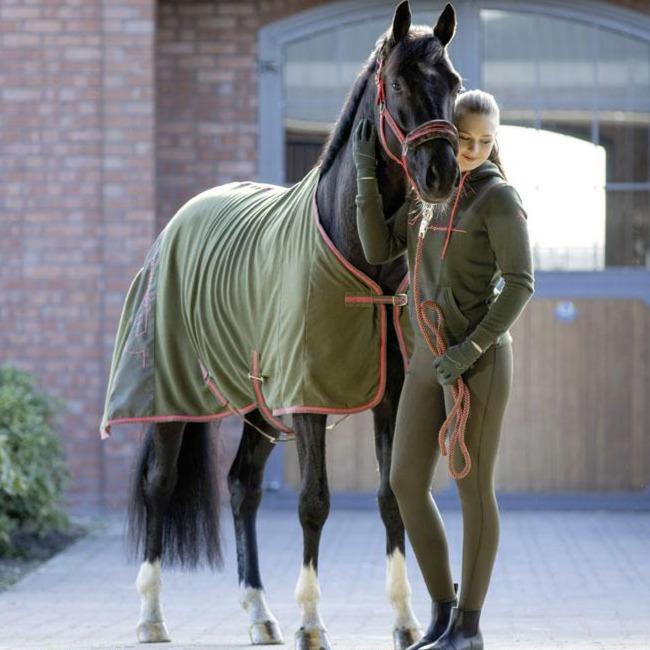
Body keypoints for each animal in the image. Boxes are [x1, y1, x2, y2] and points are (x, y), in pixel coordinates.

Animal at [115, 3, 460, 648]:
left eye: (452, 83)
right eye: (400, 84)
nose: (441, 174)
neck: (361, 261)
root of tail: (179, 219)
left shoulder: (388, 395)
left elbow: (390, 498)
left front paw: (404, 622)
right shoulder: (308, 401)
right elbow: (313, 502)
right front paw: (312, 622)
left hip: (256, 405)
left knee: (242, 486)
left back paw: (260, 614)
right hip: (172, 397)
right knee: (159, 483)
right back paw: (151, 616)